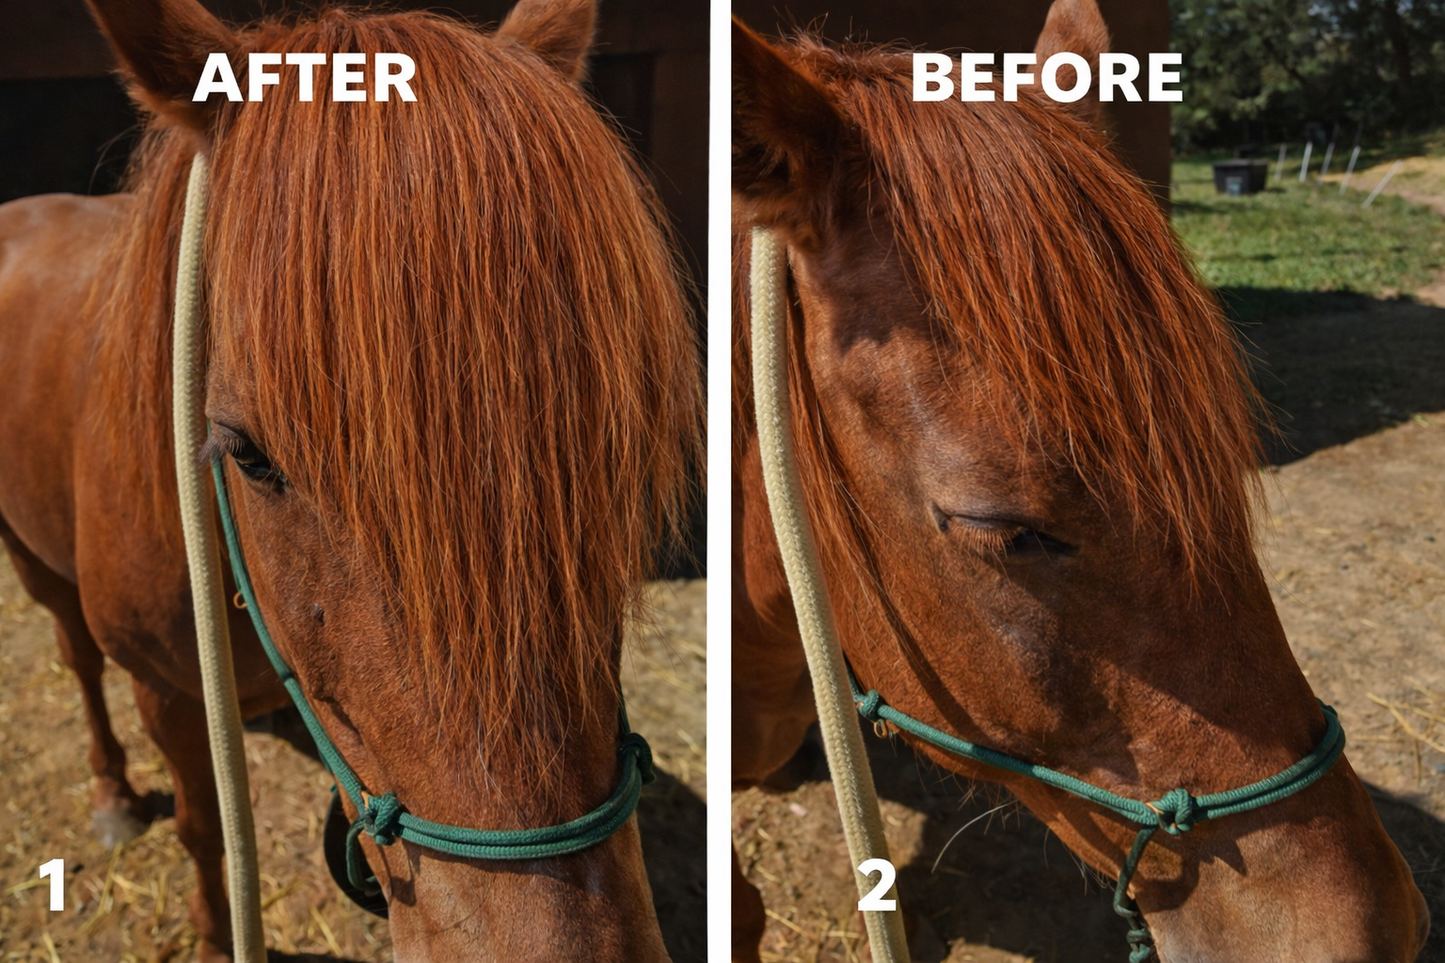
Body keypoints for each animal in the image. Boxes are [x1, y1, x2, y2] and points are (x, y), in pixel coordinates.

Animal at [0, 0, 701, 959]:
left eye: (615, 429)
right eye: (246, 452)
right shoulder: (167, 691)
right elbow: (203, 826)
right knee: (73, 652)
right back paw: (111, 792)